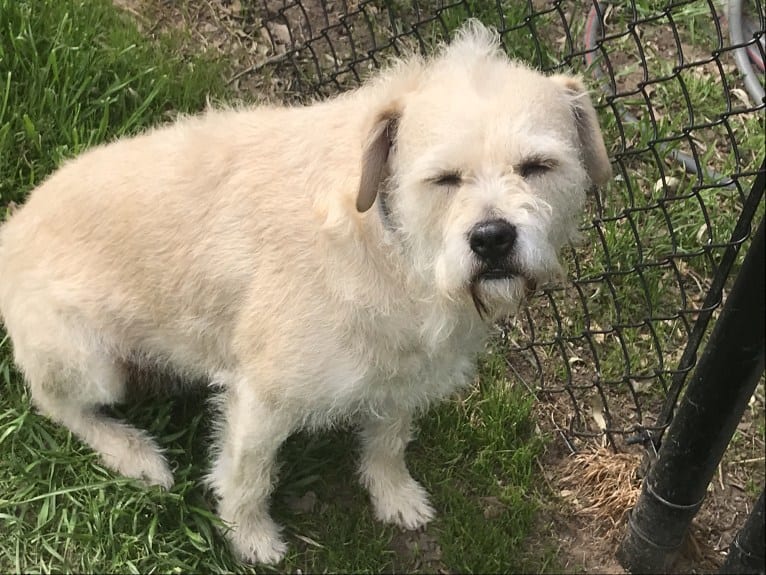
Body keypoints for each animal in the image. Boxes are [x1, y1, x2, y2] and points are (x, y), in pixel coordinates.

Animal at [0, 21, 612, 564]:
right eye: (442, 178)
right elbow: (248, 477)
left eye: (537, 166)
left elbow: (389, 440)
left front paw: (393, 494)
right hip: (90, 363)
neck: (392, 248)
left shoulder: (405, 373)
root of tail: (9, 234)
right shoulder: (262, 401)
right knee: (57, 406)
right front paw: (249, 538)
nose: (492, 238)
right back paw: (132, 452)